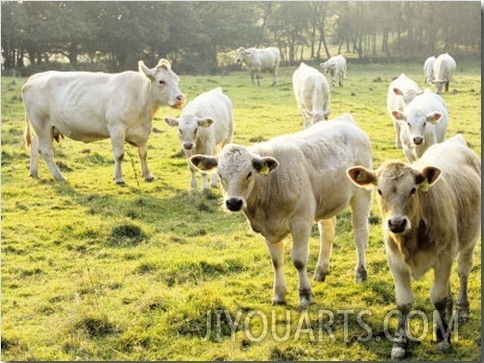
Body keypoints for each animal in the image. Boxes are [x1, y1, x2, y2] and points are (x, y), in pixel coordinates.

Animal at [20, 60, 184, 186]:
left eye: (177, 80)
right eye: (162, 81)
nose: (180, 98)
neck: (140, 96)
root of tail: (35, 77)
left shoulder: (143, 131)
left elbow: (143, 153)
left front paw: (148, 175)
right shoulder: (116, 129)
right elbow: (119, 155)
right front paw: (119, 178)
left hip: (44, 127)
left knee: (35, 147)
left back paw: (34, 173)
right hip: (42, 124)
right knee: (46, 151)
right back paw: (59, 176)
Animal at [189, 114, 370, 310]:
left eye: (249, 174)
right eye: (220, 174)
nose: (233, 202)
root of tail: (345, 120)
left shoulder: (301, 223)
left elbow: (298, 260)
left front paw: (305, 295)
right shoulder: (268, 230)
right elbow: (277, 261)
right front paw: (279, 295)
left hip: (362, 195)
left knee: (360, 235)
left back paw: (360, 273)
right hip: (327, 201)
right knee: (327, 233)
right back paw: (321, 271)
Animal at [348, 134, 480, 362]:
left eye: (412, 190)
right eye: (379, 191)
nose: (396, 223)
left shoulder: (444, 257)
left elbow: (437, 297)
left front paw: (444, 338)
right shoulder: (395, 262)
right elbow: (404, 302)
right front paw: (400, 343)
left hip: (468, 243)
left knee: (463, 273)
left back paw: (462, 309)